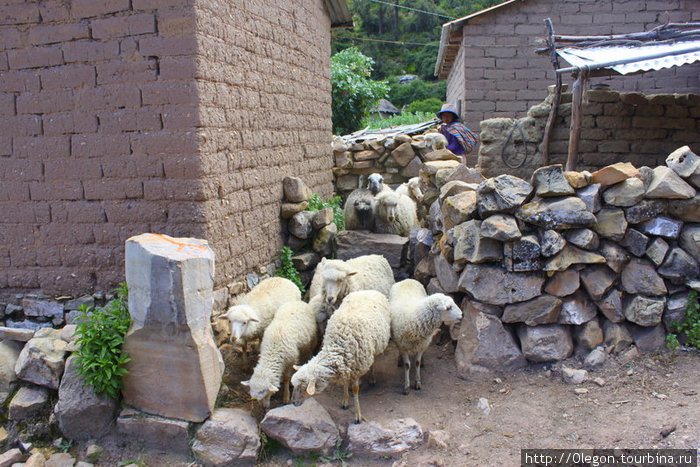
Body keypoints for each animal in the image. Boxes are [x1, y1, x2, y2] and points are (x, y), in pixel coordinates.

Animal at [288, 290, 392, 422]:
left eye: (303, 388)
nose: (293, 402)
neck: (338, 344)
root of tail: (369, 290)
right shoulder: (345, 364)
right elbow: (345, 381)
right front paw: (345, 400)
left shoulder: (357, 365)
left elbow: (355, 389)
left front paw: (358, 415)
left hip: (373, 348)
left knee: (373, 361)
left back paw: (372, 377)